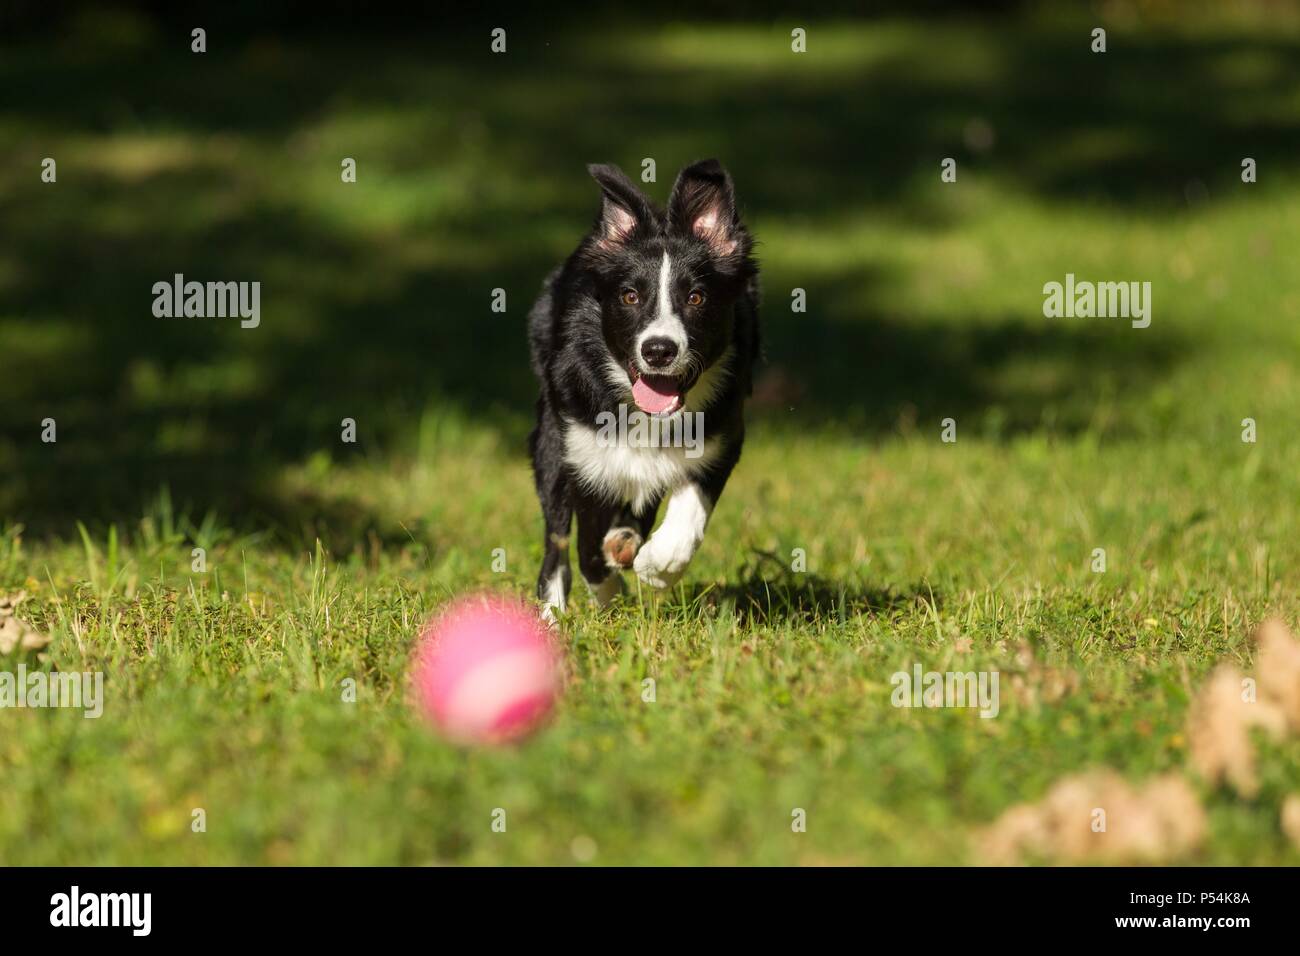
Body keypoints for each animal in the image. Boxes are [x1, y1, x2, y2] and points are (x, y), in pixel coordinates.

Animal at [522, 158, 759, 621]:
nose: (659, 350)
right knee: (557, 536)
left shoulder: (722, 436)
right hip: (551, 436)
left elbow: (691, 509)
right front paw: (607, 592)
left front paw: (659, 564)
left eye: (697, 297)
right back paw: (553, 613)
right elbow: (585, 546)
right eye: (630, 296)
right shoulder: (582, 451)